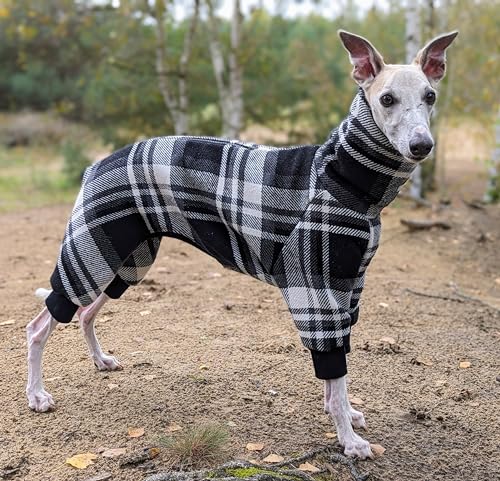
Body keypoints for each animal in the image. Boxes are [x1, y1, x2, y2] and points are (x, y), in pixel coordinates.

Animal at [26, 30, 458, 458]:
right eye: (386, 99)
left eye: (430, 96)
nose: (422, 145)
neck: (341, 178)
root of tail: (95, 164)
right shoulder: (318, 289)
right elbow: (335, 374)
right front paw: (348, 440)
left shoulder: (348, 290)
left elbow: (337, 376)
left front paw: (347, 415)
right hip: (95, 250)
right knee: (41, 324)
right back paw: (36, 394)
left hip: (127, 259)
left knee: (85, 313)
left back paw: (100, 360)